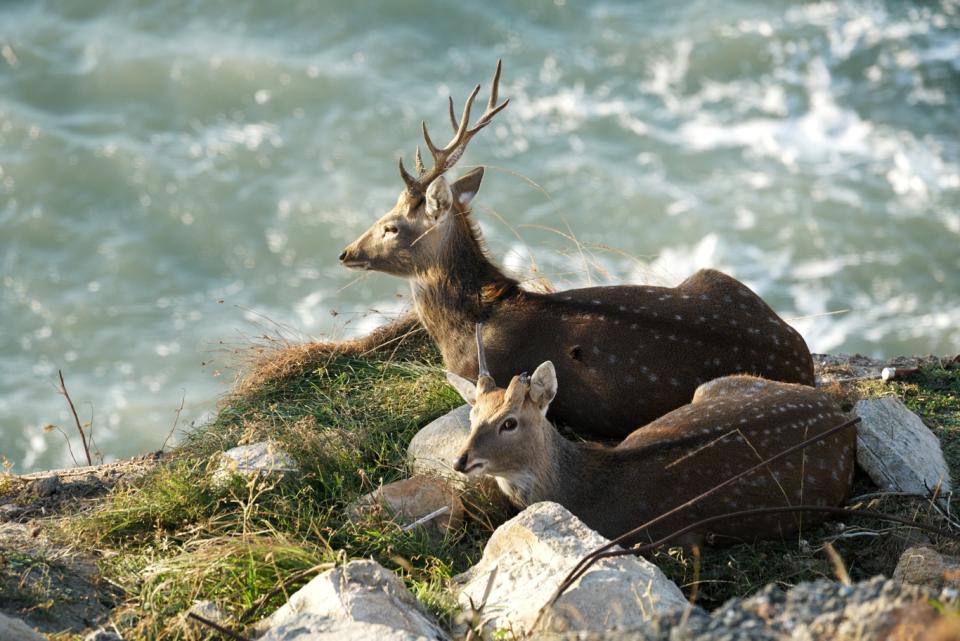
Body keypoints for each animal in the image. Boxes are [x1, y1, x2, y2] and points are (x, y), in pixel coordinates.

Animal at [446, 324, 860, 544]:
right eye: (473, 415)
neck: (586, 492)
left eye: (509, 422)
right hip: (715, 385)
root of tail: (836, 412)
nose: (461, 460)